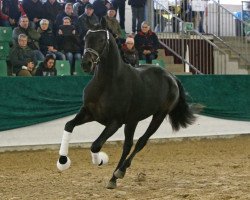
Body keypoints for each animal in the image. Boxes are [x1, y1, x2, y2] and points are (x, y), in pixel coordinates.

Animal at [56, 18, 195, 189]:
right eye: (86, 38)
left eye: (101, 40)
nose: (86, 64)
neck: (107, 83)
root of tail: (171, 77)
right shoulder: (89, 113)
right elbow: (69, 125)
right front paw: (63, 162)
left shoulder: (115, 122)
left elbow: (96, 145)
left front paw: (101, 160)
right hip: (132, 120)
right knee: (128, 145)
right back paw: (113, 178)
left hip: (159, 115)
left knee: (141, 142)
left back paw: (119, 172)